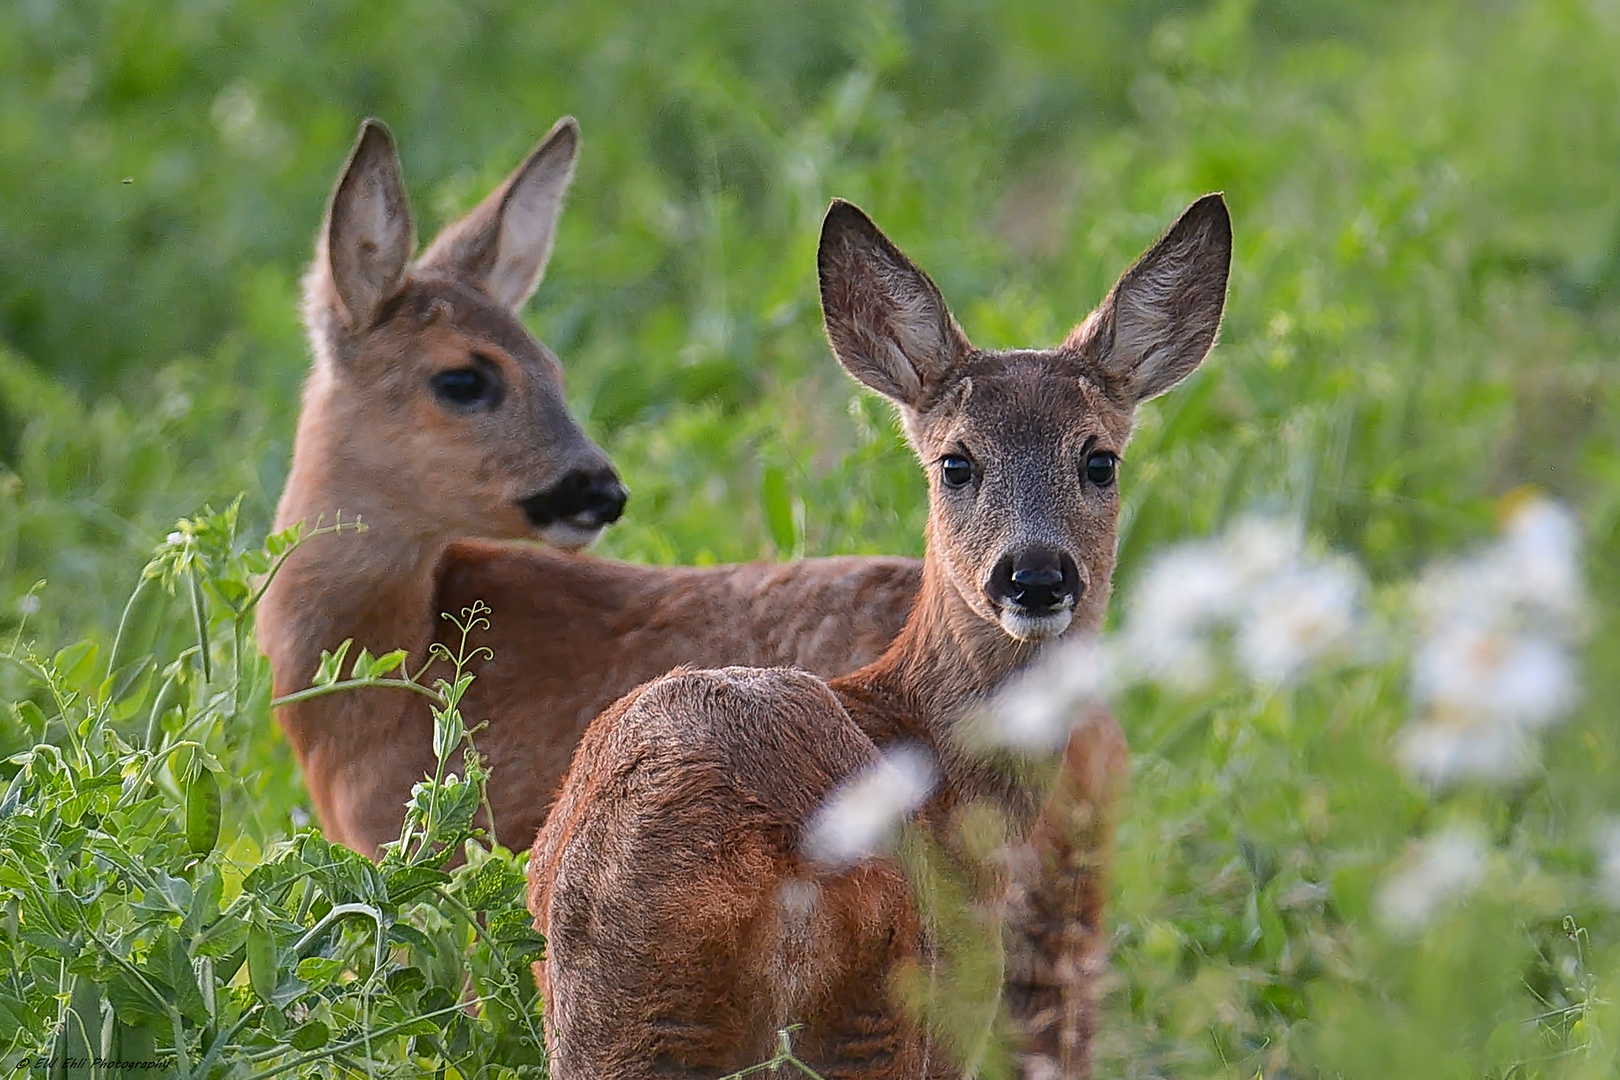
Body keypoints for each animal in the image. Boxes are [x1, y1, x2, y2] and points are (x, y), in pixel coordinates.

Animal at [528, 194, 1224, 1080]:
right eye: (957, 463)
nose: (1034, 576)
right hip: (889, 1003)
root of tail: (780, 852)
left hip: (612, 1013)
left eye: (1098, 460)